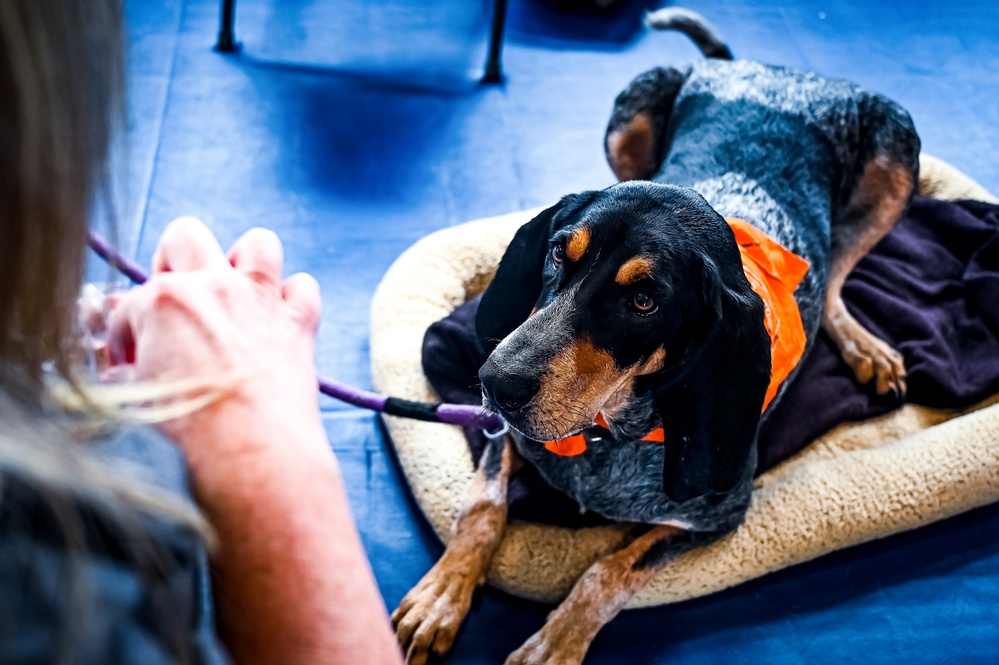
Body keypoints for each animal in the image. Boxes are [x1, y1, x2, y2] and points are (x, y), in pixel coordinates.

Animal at [392, 6, 920, 664]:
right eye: (558, 254)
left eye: (644, 301)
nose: (496, 383)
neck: (606, 433)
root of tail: (766, 67)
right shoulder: (503, 436)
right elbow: (482, 507)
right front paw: (442, 596)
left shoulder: (717, 511)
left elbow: (610, 570)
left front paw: (554, 644)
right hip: (632, 111)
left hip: (897, 145)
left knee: (843, 273)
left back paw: (864, 345)